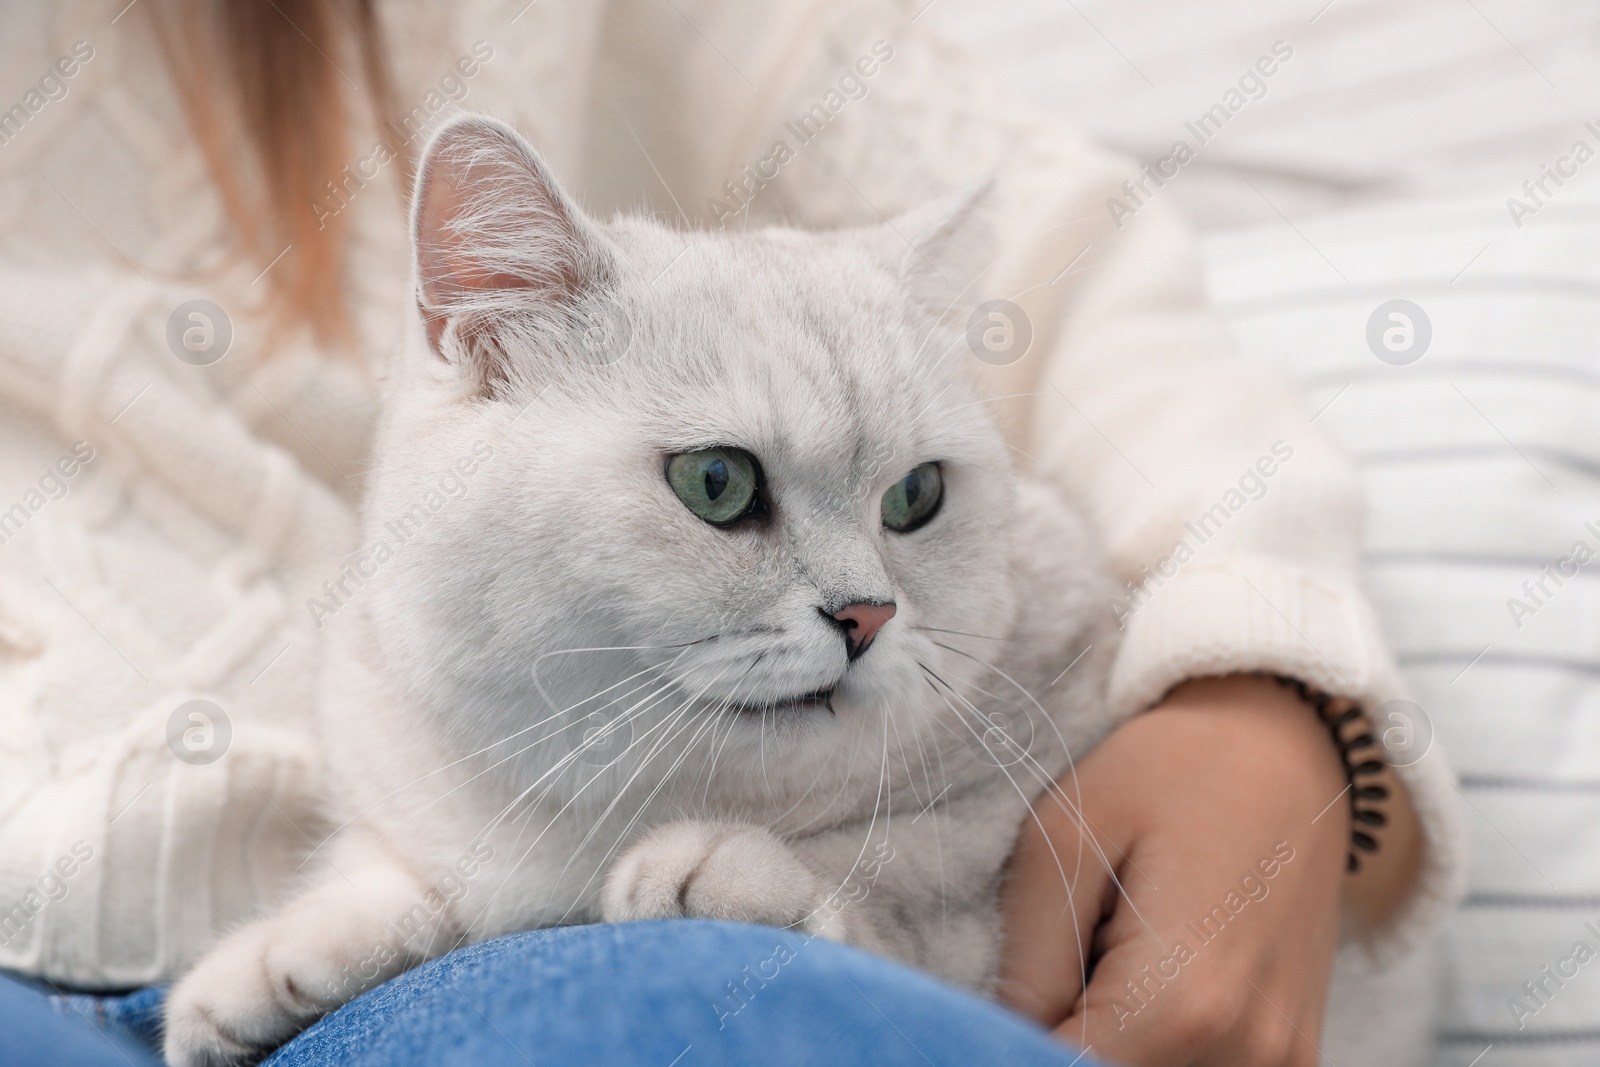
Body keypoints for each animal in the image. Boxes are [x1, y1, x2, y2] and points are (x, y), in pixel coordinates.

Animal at [156, 116, 1120, 1067]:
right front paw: (271, 958)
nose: (868, 615)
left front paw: (731, 873)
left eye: (916, 496)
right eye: (716, 481)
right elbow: (394, 869)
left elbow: (905, 873)